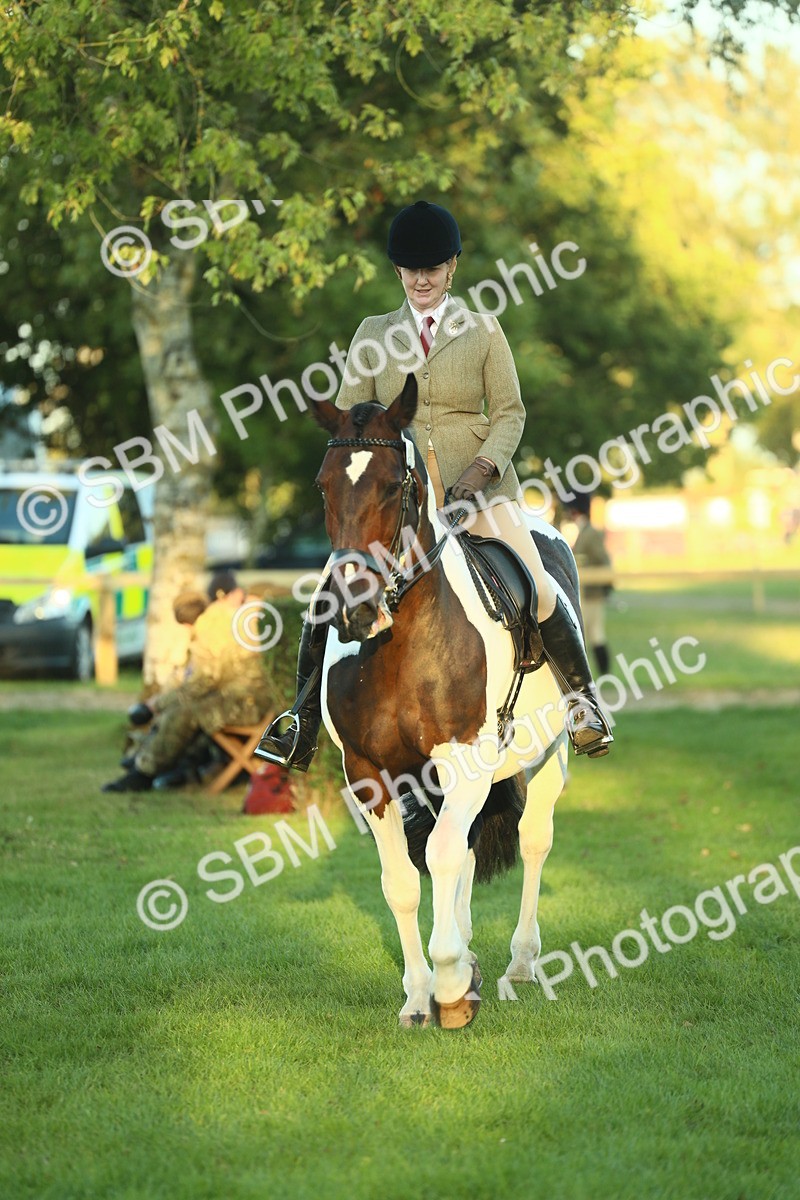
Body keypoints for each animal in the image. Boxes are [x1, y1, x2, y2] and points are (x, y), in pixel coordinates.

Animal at [311, 375, 581, 1028]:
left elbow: (439, 857)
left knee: (530, 838)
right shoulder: (370, 774)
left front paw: (452, 984)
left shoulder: (464, 759)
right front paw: (420, 994)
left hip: (548, 754)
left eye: (393, 485)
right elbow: (403, 879)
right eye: (323, 485)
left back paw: (518, 963)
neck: (400, 644)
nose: (354, 610)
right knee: (459, 849)